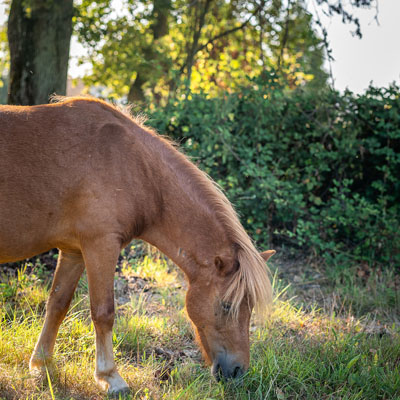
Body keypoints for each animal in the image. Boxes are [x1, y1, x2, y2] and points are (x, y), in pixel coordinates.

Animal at [0, 97, 276, 396]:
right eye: (226, 306)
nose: (238, 371)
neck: (135, 167)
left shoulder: (74, 251)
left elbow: (57, 305)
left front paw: (42, 366)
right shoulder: (101, 245)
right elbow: (104, 312)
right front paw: (110, 378)